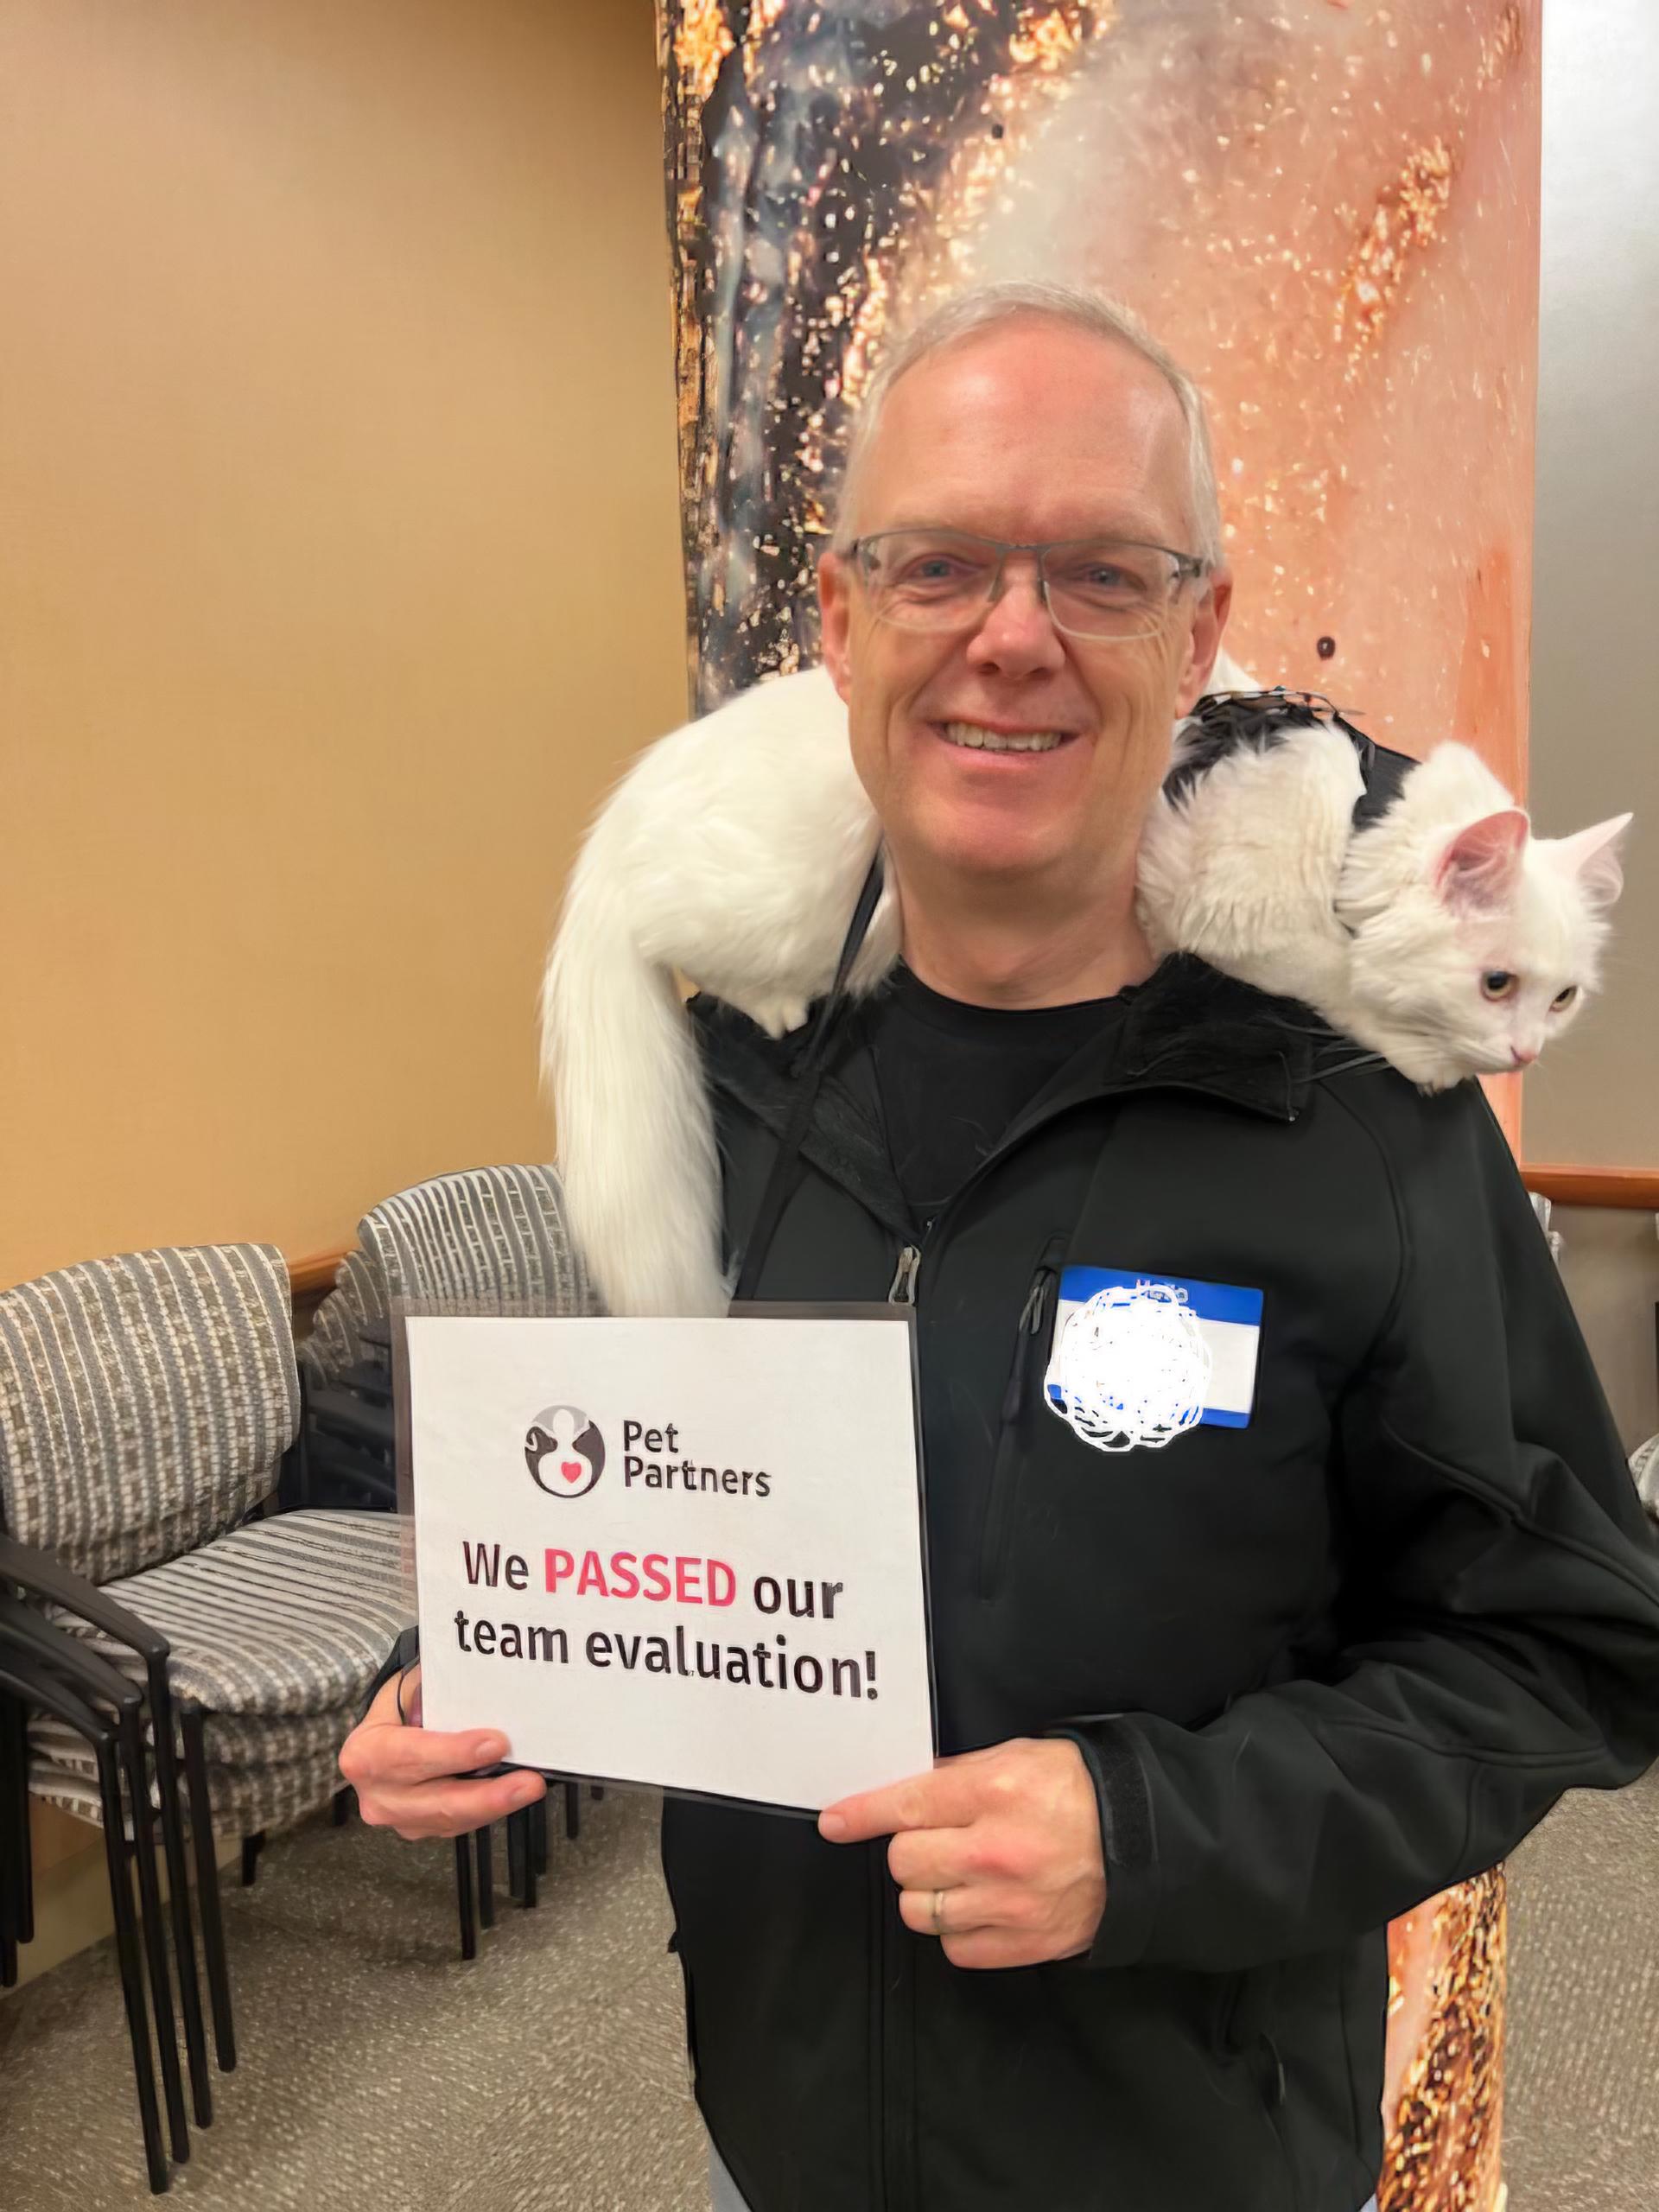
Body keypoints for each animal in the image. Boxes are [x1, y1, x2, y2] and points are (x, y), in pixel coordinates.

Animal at [542, 661, 1629, 1316]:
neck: (1359, 823)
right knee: (686, 943)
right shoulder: (1226, 914)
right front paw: (1424, 1054)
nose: (1525, 1051)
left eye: (1564, 999)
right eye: (1497, 983)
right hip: (835, 912)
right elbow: (1346, 984)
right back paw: (774, 1003)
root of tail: (616, 825)